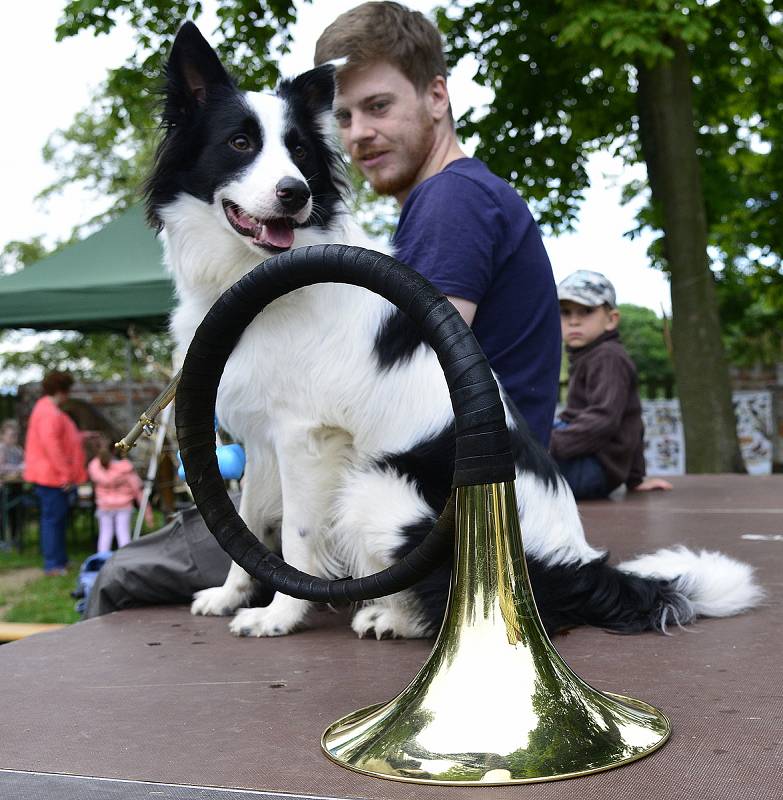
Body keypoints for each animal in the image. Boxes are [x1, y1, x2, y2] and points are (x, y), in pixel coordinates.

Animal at [145, 21, 760, 640]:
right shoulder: (261, 438)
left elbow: (296, 536)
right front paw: (229, 596)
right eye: (239, 143)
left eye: (298, 150)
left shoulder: (305, 436)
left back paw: (386, 617)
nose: (296, 193)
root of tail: (578, 569)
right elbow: (247, 522)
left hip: (377, 484)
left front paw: (278, 616)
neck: (253, 274)